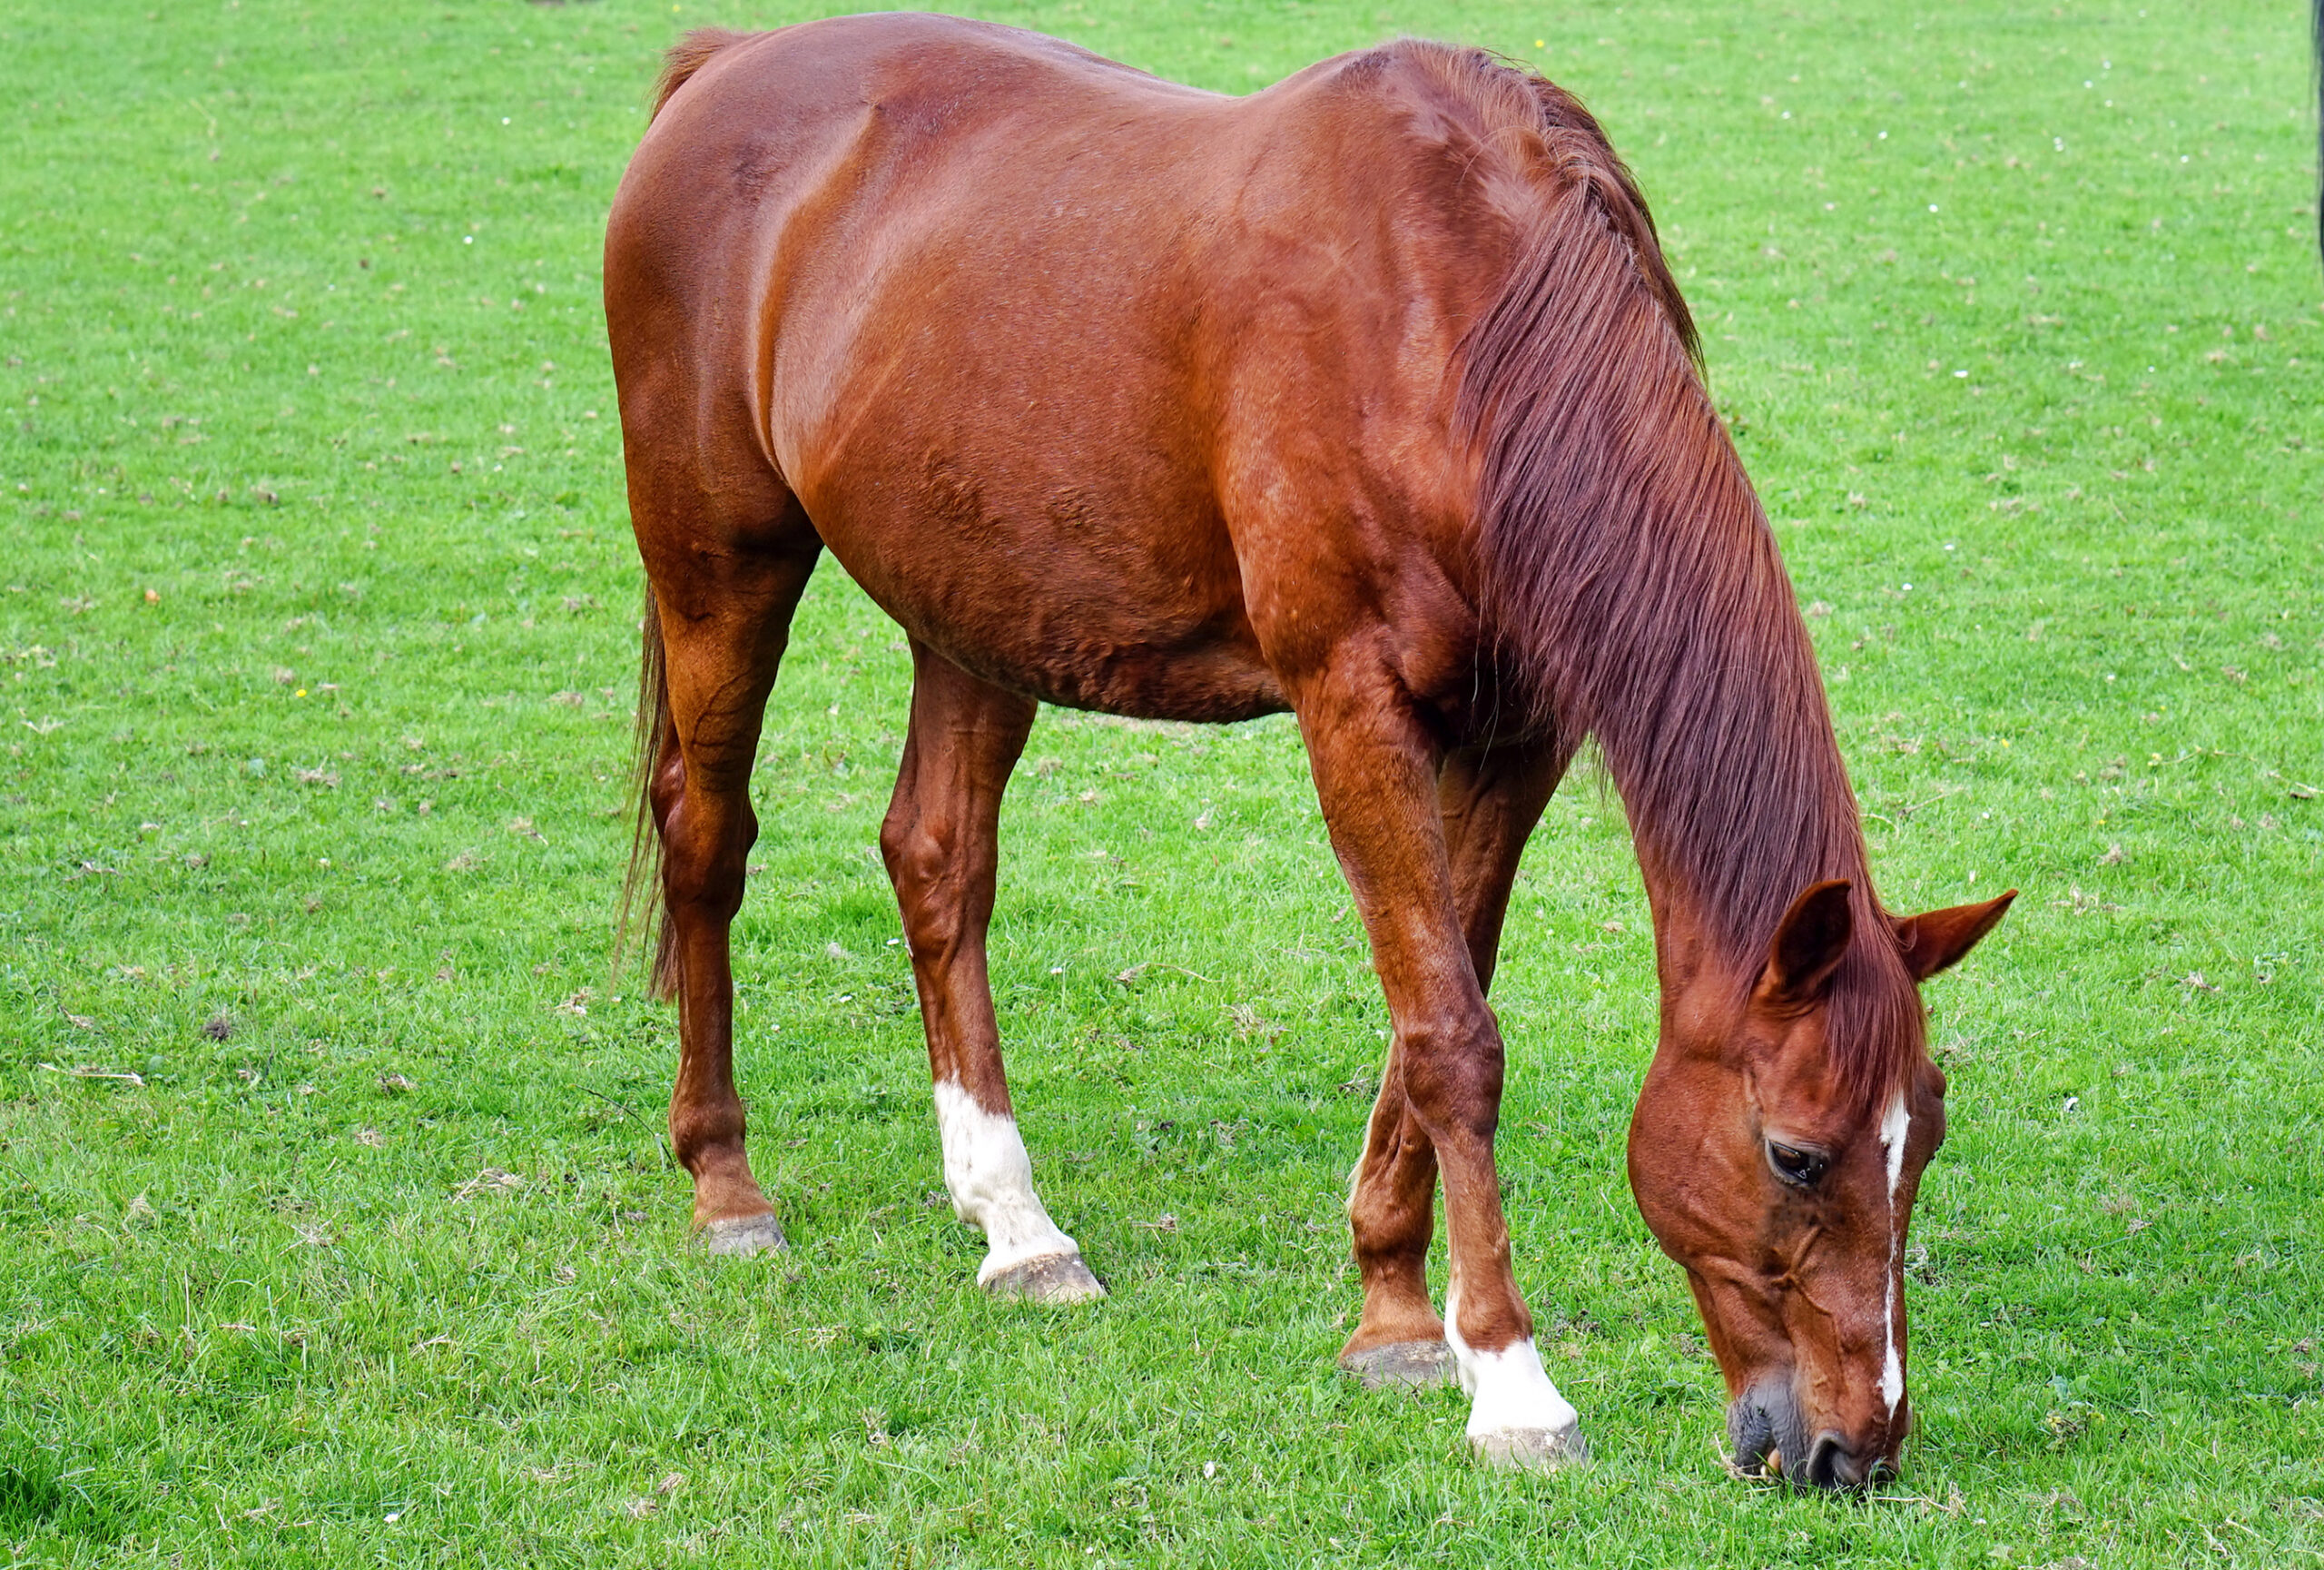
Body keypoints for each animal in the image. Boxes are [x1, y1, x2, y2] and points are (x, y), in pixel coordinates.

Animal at [604, 14, 2013, 1485]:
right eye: (1796, 1155)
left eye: (1924, 1137)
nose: (1857, 1448)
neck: (1455, 331)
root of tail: (730, 61)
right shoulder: (1353, 704)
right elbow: (1453, 1036)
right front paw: (1511, 1384)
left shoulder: (1516, 733)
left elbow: (1439, 1001)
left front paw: (1393, 1309)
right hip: (721, 561)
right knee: (707, 835)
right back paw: (725, 1184)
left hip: (975, 609)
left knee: (937, 862)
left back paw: (1017, 1226)